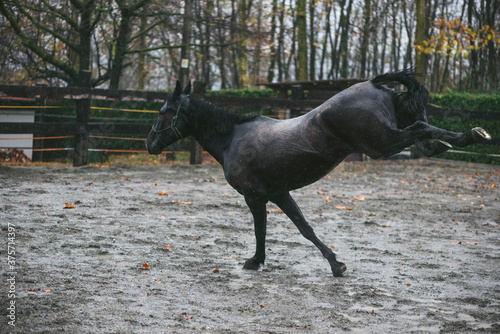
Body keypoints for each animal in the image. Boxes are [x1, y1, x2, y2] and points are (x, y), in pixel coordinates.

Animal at [146, 72, 490, 278]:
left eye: (163, 113)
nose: (149, 143)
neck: (233, 137)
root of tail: (373, 84)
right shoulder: (278, 193)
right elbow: (304, 228)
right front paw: (335, 263)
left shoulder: (255, 197)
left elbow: (266, 231)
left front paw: (257, 262)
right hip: (391, 131)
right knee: (423, 129)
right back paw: (456, 139)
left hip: (382, 143)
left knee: (420, 128)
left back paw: (473, 135)